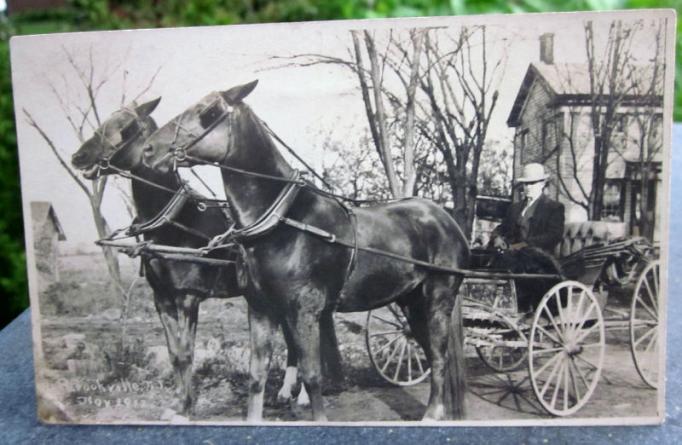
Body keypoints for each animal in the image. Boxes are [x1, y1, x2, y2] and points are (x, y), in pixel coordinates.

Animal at [69, 99, 340, 414]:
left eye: (125, 127)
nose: (78, 156)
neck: (175, 223)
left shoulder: (188, 297)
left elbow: (187, 353)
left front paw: (187, 407)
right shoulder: (162, 299)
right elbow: (175, 354)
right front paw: (178, 403)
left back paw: (303, 397)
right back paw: (285, 392)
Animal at [143, 80, 470, 420]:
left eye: (207, 111)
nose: (150, 150)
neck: (282, 222)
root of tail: (446, 219)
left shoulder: (304, 311)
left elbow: (313, 376)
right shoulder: (260, 309)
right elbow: (257, 375)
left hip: (436, 299)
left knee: (438, 356)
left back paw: (432, 413)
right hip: (410, 302)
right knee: (432, 352)